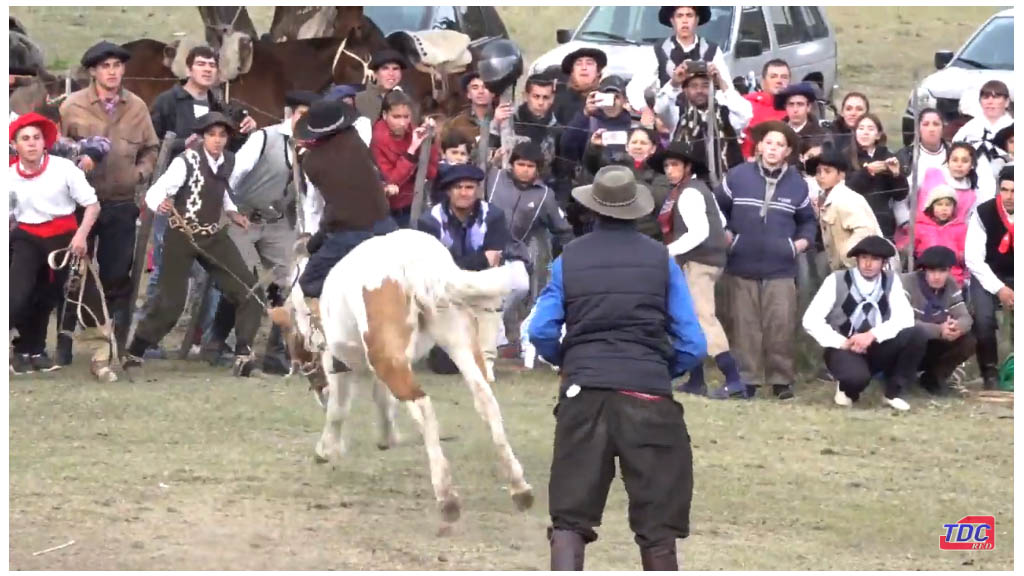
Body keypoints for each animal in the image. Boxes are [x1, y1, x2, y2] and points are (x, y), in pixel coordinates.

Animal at [276, 228, 540, 520]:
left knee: (423, 406)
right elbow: (383, 399)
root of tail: (419, 264)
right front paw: (386, 436)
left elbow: (338, 410)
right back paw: (519, 487)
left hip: (390, 360)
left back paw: (446, 495)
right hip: (458, 343)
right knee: (485, 399)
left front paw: (328, 449)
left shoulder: (340, 365)